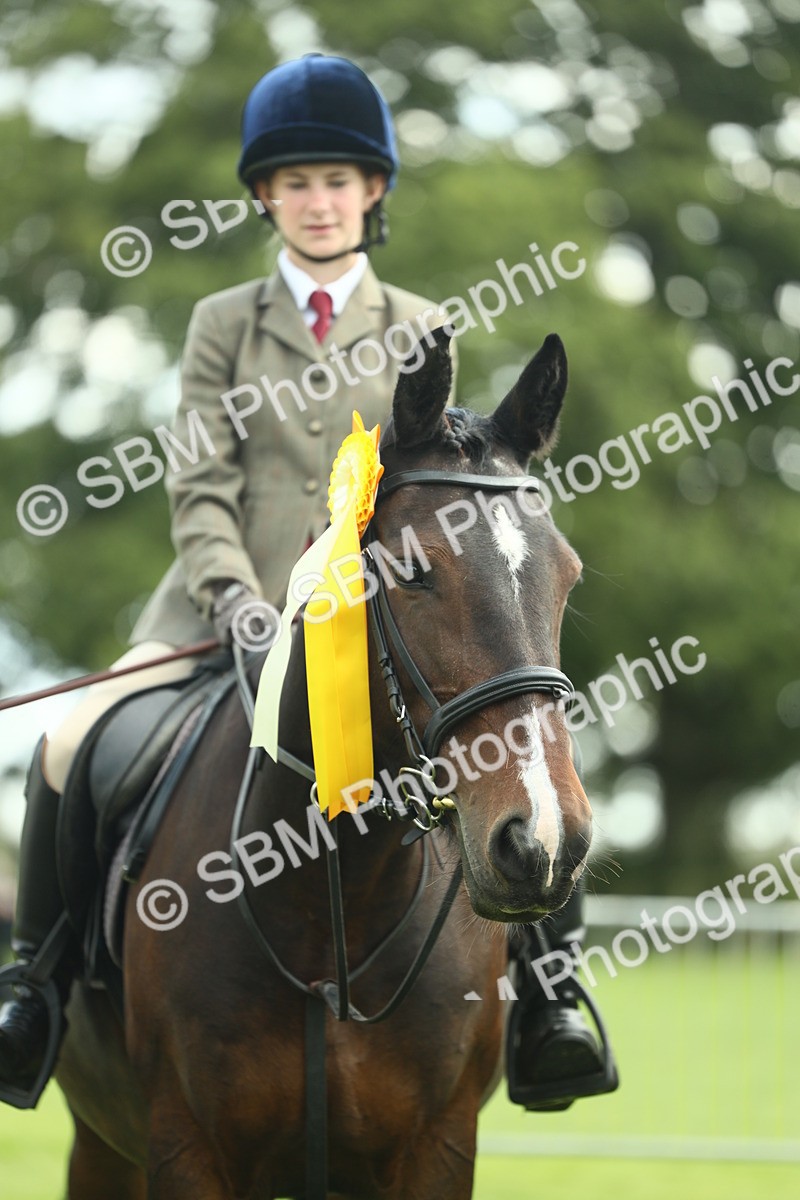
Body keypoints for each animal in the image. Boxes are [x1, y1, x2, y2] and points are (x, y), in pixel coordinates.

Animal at [53, 327, 591, 1199]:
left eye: (567, 575)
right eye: (413, 571)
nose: (541, 839)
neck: (333, 898)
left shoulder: (438, 1148)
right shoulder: (185, 1147)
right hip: (106, 1145)